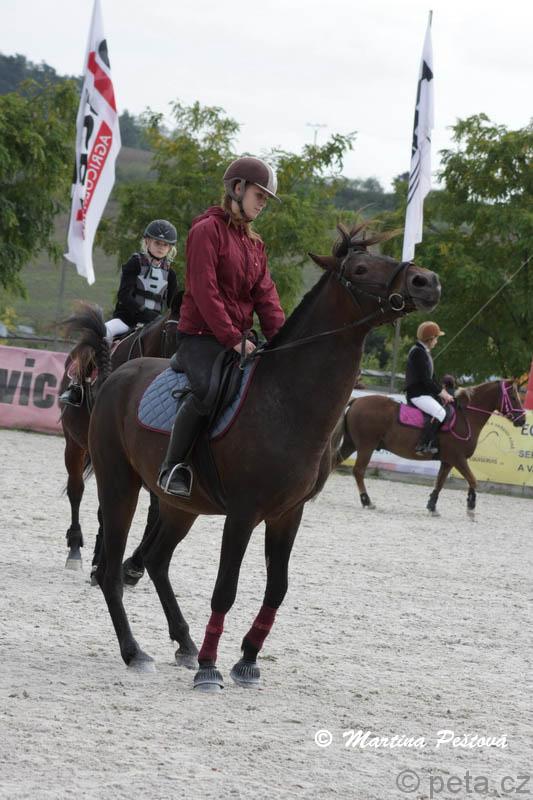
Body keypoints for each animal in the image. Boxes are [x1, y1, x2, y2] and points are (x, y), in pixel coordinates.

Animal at [60, 295, 181, 571]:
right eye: (174, 334)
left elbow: (154, 512)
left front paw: (133, 563)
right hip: (74, 442)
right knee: (76, 489)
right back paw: (76, 548)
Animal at [78, 223, 440, 691]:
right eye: (360, 268)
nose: (426, 281)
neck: (286, 398)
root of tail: (117, 373)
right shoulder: (243, 513)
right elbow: (225, 588)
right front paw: (211, 667)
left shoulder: (287, 514)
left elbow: (277, 587)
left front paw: (247, 658)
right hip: (120, 485)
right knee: (110, 571)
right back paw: (134, 651)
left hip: (180, 506)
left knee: (157, 561)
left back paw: (184, 643)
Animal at [334, 380, 526, 515]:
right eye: (514, 397)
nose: (523, 420)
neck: (465, 417)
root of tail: (357, 400)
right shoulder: (458, 458)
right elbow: (473, 480)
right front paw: (471, 506)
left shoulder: (448, 461)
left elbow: (439, 483)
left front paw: (432, 506)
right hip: (366, 446)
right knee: (358, 471)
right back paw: (367, 501)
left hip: (351, 444)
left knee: (333, 462)